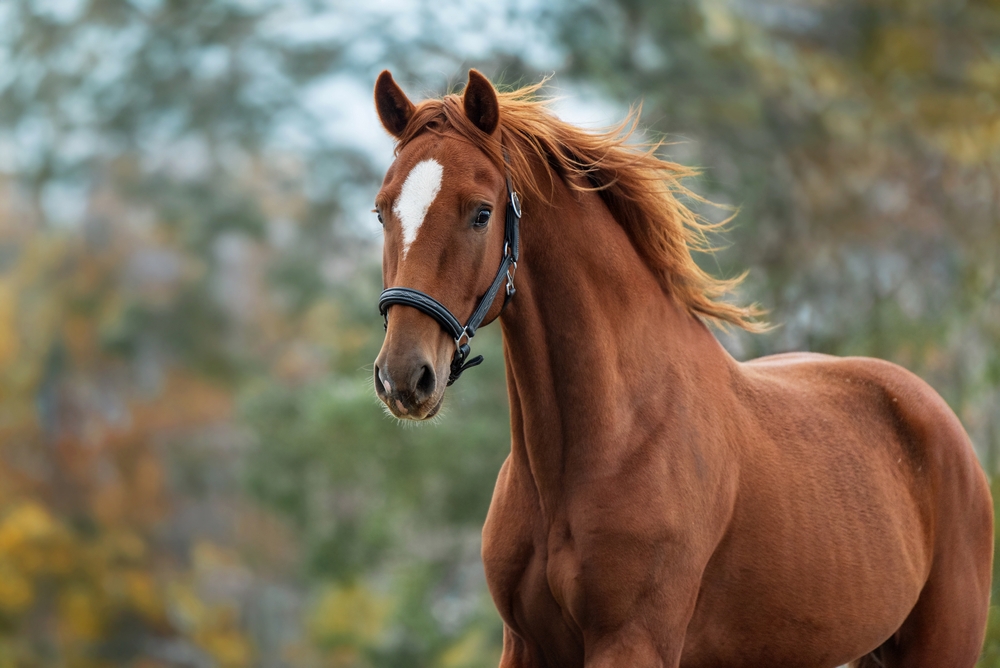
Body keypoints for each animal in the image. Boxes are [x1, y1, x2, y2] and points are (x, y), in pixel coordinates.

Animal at [370, 69, 992, 668]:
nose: (404, 377)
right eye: (381, 211)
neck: (606, 440)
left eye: (481, 213)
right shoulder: (526, 646)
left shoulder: (633, 642)